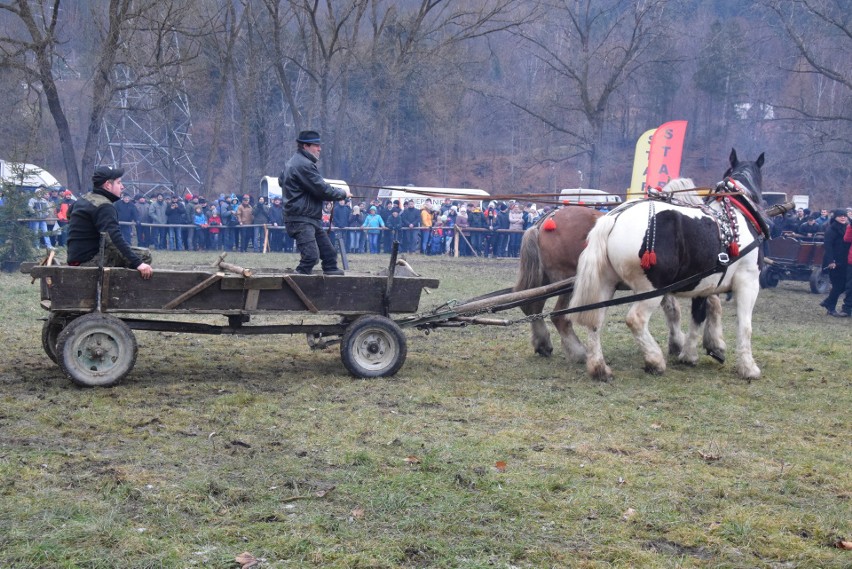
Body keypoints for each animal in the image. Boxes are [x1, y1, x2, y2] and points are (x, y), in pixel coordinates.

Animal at [568, 149, 768, 380]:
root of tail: (614, 218)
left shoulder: (705, 284)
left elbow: (699, 316)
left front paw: (692, 353)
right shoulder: (748, 281)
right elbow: (744, 325)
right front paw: (748, 367)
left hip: (606, 283)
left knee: (595, 320)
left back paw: (599, 367)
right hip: (651, 288)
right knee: (635, 319)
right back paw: (654, 360)